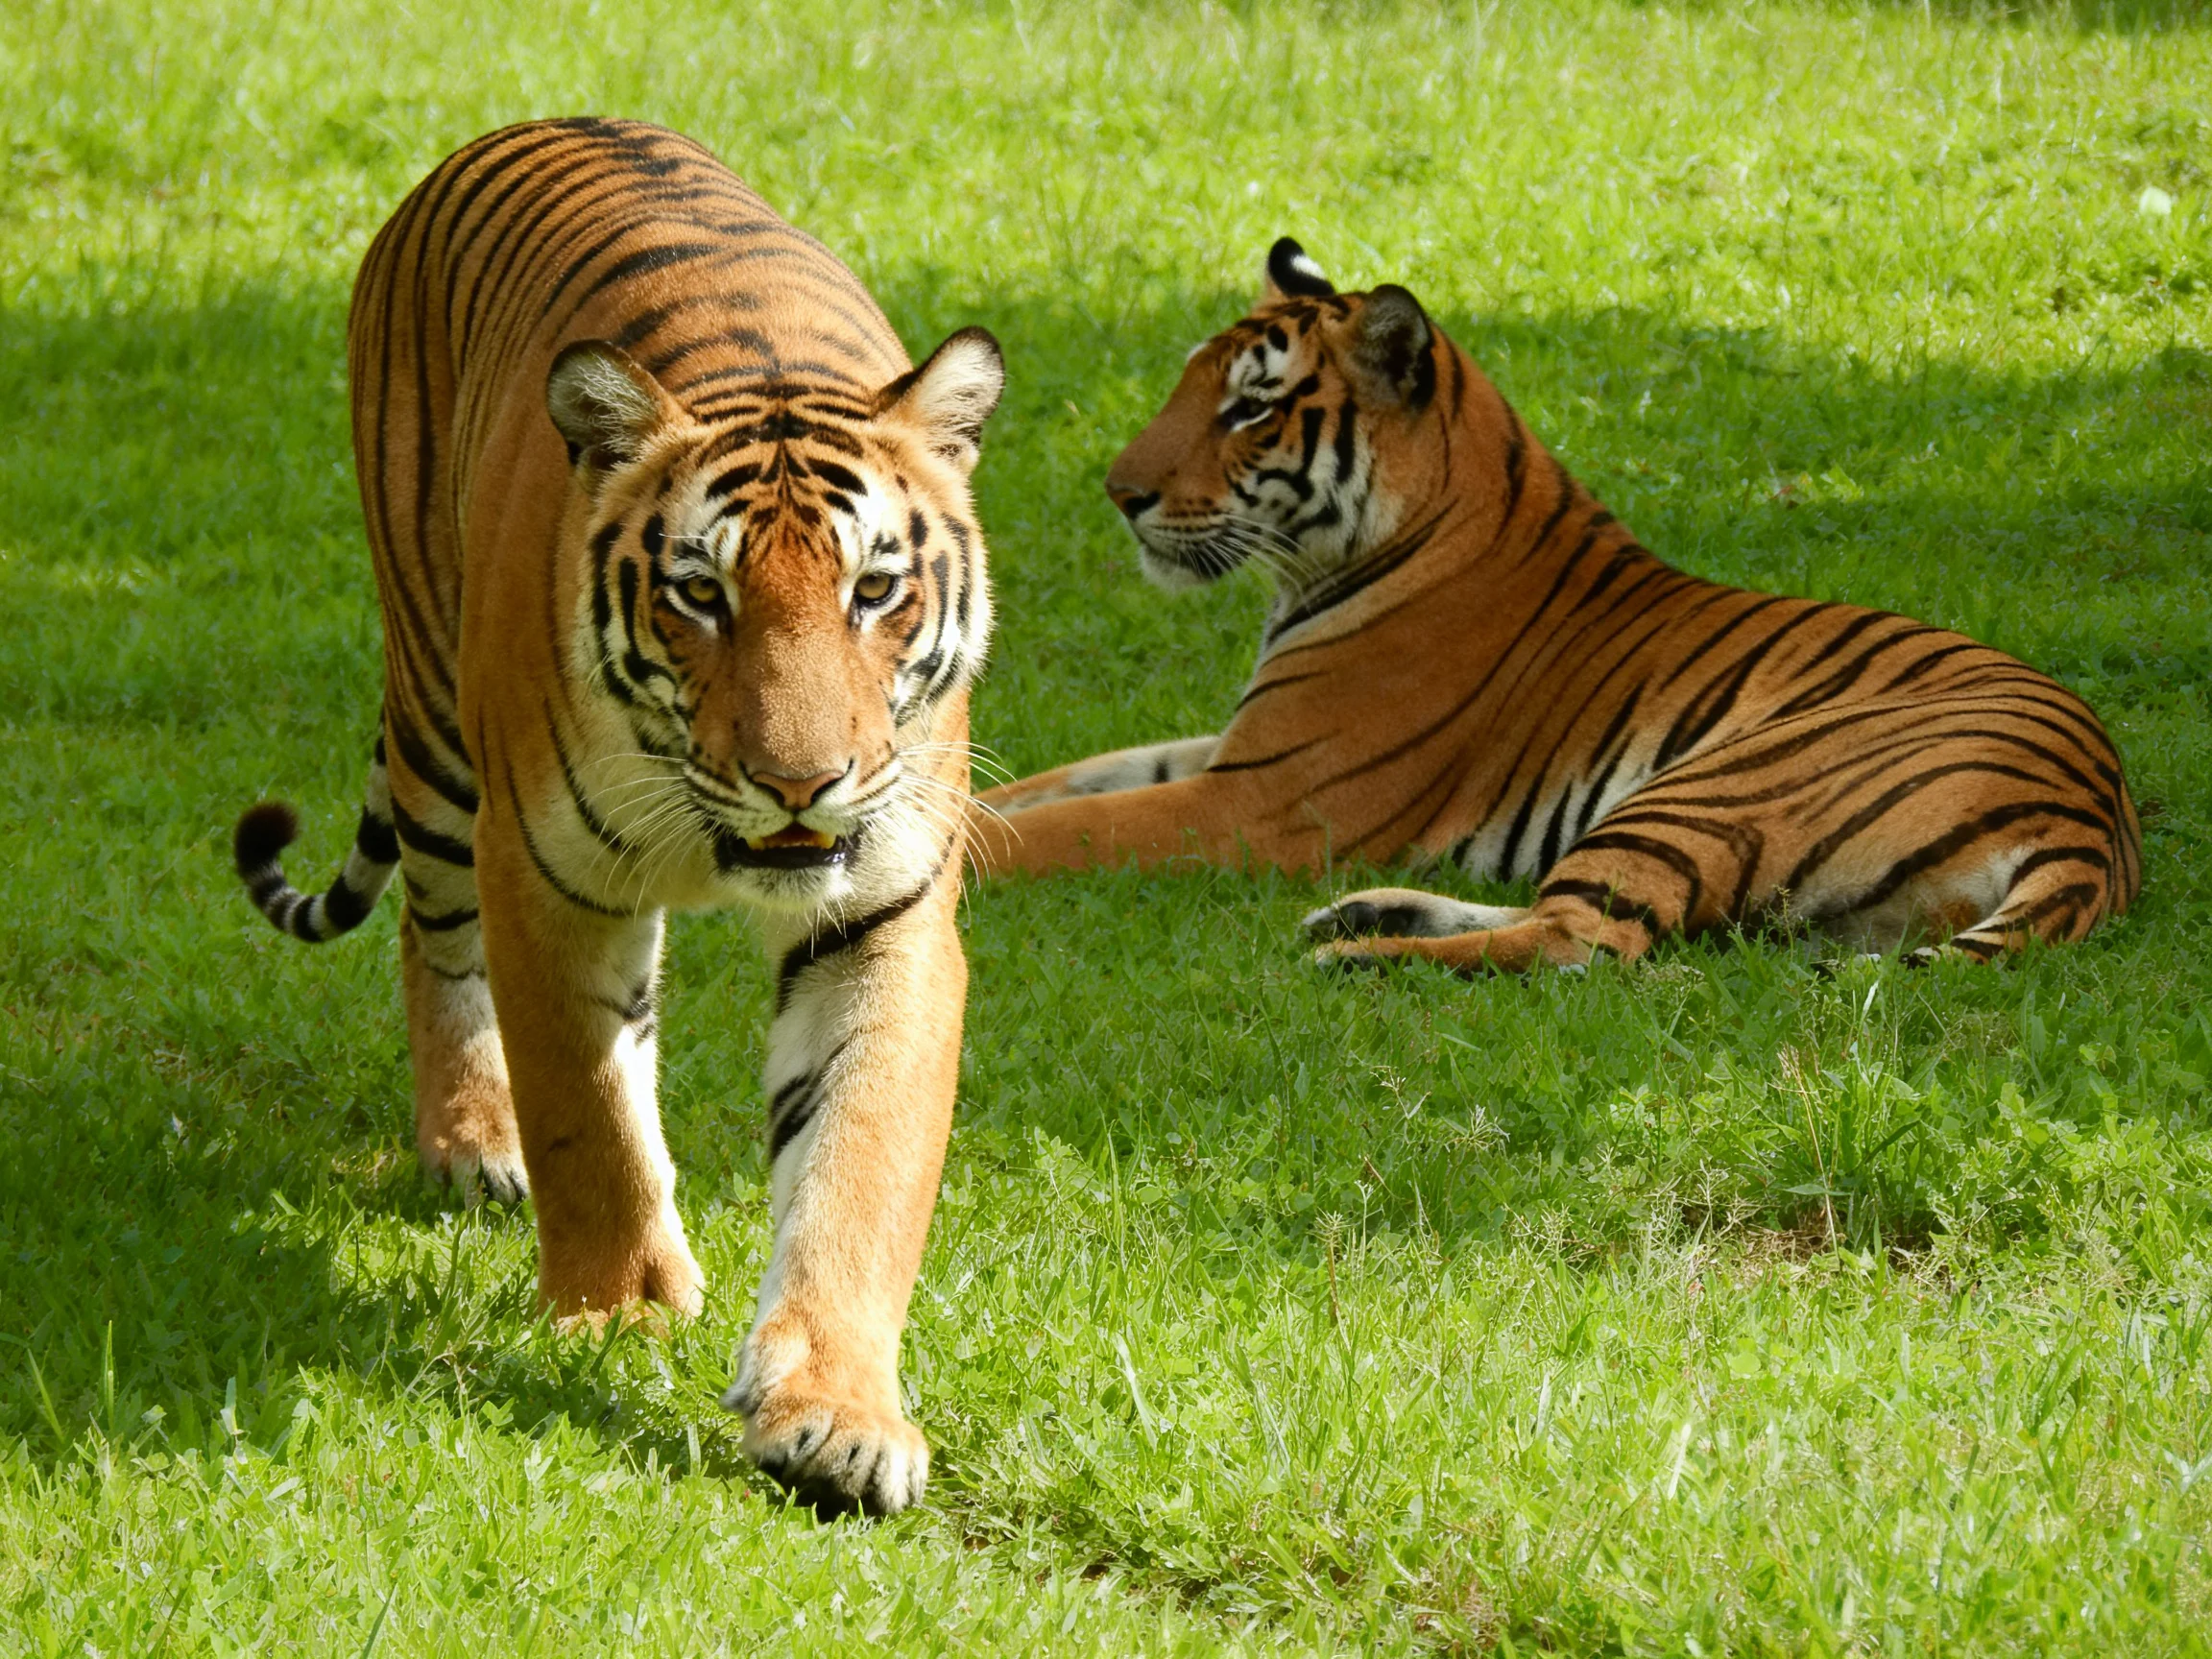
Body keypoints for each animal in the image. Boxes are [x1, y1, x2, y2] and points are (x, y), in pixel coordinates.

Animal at [231, 119, 1005, 1515]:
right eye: (700, 594)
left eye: (874, 590)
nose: (801, 780)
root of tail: (523, 126)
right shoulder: (545, 878)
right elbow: (585, 1113)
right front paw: (624, 1316)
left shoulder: (887, 912)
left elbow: (858, 1163)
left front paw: (838, 1414)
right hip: (439, 745)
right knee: (432, 942)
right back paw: (473, 1145)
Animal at [969, 238, 2140, 973]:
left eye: (1250, 409)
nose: (1119, 493)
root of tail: (2094, 817)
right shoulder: (1230, 749)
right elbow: (1049, 784)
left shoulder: (1260, 797)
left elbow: (1052, 825)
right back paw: (1370, 913)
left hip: (1712, 784)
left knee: (1589, 944)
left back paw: (1360, 953)